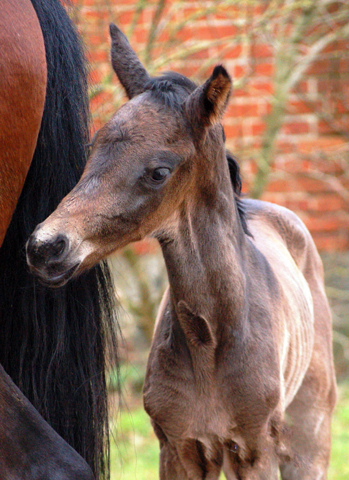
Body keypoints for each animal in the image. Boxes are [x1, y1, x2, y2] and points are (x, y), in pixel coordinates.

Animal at [25, 25, 336, 480]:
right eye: (93, 147)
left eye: (159, 172)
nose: (45, 246)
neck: (210, 342)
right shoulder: (178, 447)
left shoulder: (256, 450)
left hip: (308, 437)